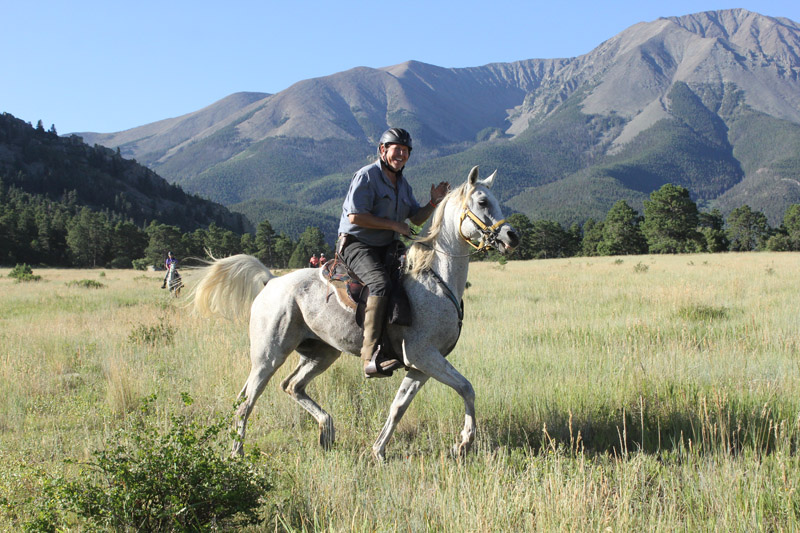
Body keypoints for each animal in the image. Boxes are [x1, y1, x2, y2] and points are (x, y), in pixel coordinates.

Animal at [191, 165, 520, 458]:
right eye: (482, 201)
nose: (511, 236)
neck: (435, 279)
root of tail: (270, 281)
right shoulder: (424, 356)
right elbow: (466, 388)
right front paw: (464, 442)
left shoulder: (420, 365)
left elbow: (399, 406)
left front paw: (378, 450)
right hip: (268, 355)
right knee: (246, 400)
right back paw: (237, 452)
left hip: (321, 352)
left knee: (292, 386)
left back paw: (326, 431)